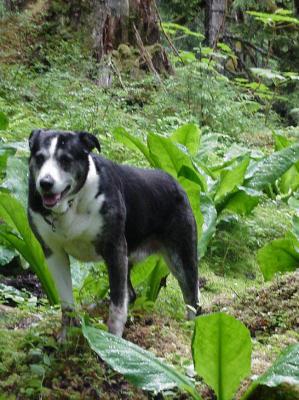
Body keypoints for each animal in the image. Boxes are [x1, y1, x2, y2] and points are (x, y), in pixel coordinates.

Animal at [28, 130, 202, 336]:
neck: (72, 204)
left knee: (192, 299)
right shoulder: (53, 253)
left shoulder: (115, 249)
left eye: (65, 160)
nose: (45, 183)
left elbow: (118, 304)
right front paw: (67, 333)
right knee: (132, 293)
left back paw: (192, 328)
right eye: (39, 158)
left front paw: (113, 338)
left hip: (182, 256)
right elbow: (66, 300)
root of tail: (177, 183)